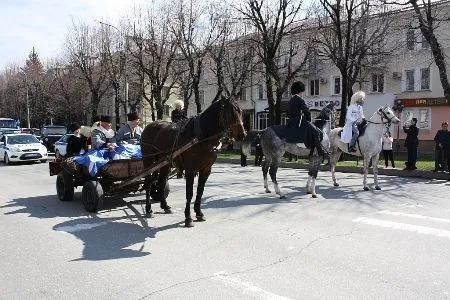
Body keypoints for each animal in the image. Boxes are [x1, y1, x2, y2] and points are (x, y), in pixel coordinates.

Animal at [141, 96, 246, 227]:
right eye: (230, 112)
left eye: (240, 112)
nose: (242, 135)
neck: (200, 138)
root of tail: (148, 126)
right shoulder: (190, 171)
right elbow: (189, 193)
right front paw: (188, 217)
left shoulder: (206, 170)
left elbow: (200, 191)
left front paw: (199, 213)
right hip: (149, 162)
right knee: (148, 183)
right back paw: (149, 209)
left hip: (165, 164)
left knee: (160, 183)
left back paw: (165, 206)